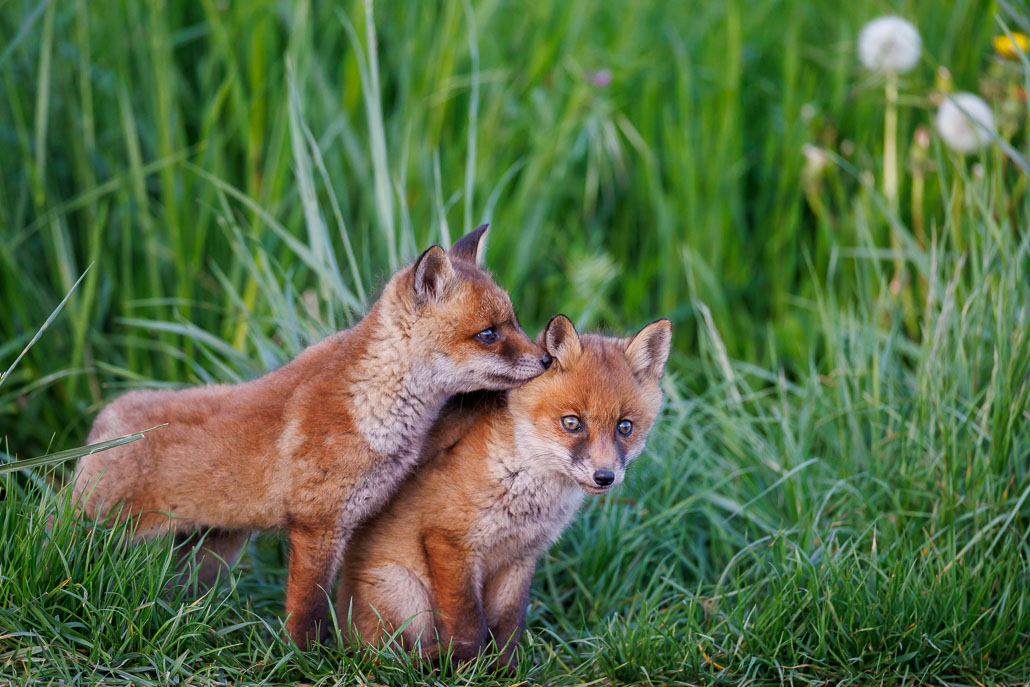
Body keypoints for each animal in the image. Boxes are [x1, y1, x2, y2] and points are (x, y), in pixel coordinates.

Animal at [71, 225, 552, 649]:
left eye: (515, 322)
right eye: (488, 333)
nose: (548, 359)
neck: (374, 405)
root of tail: (109, 414)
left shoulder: (348, 522)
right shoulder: (316, 525)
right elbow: (308, 611)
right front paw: (308, 660)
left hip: (210, 552)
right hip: (98, 532)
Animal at [334, 313, 671, 669]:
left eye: (625, 427)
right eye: (572, 423)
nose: (604, 476)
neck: (525, 498)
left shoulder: (521, 556)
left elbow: (508, 623)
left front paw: (506, 670)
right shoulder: (448, 541)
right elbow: (469, 622)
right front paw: (468, 666)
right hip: (405, 593)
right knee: (388, 656)